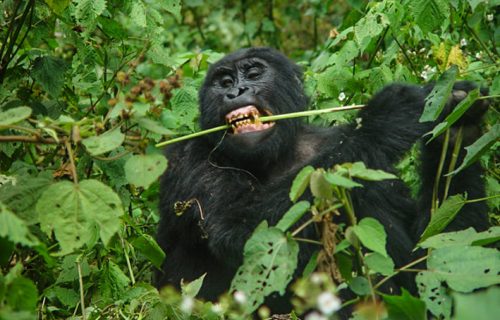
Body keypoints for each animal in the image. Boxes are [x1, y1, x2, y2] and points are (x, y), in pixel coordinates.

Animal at [155, 48, 488, 312]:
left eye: (253, 73)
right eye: (223, 83)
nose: (235, 92)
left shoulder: (365, 163)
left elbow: (432, 256)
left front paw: (457, 126)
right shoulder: (187, 158)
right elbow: (238, 227)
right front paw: (388, 113)